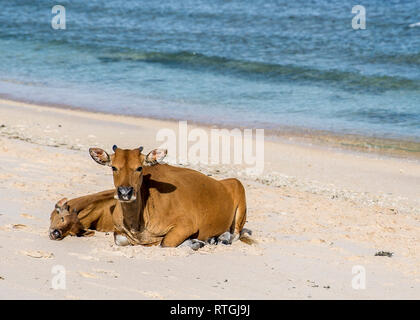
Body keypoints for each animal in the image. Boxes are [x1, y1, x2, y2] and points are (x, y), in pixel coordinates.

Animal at [89, 146, 253, 250]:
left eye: (139, 168)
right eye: (113, 167)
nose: (125, 192)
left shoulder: (187, 225)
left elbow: (165, 242)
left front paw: (194, 242)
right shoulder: (118, 230)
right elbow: (120, 240)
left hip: (239, 193)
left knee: (235, 234)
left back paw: (221, 238)